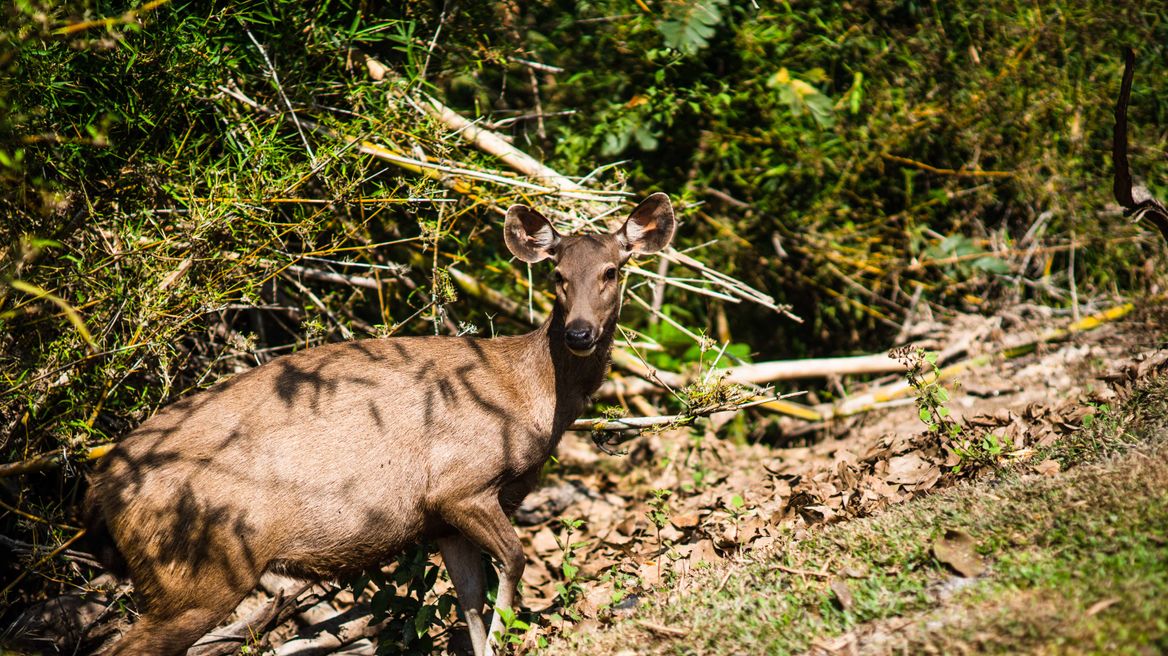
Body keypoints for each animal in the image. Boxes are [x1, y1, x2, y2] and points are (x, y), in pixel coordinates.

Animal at [83, 193, 676, 656]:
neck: (529, 395)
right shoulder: (461, 485)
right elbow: (513, 563)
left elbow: (470, 602)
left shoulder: (440, 521)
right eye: (557, 275)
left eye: (612, 271)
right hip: (200, 573)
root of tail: (100, 488)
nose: (579, 333)